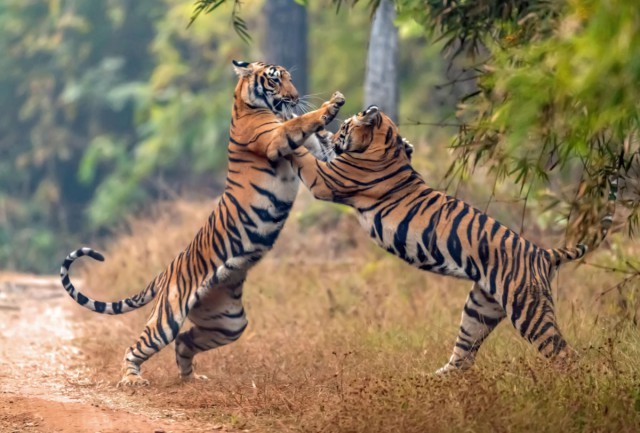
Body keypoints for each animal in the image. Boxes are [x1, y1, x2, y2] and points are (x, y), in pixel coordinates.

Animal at [61, 60, 344, 384]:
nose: (295, 97)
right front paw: (331, 105)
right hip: (167, 317)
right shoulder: (275, 139)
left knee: (185, 340)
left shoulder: (315, 149)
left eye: (289, 78)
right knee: (138, 346)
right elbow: (300, 123)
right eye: (275, 81)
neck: (248, 105)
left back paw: (191, 378)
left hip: (229, 321)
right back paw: (132, 380)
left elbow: (321, 141)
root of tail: (165, 272)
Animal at [292, 106, 616, 372]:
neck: (387, 144)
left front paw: (291, 129)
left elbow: (302, 154)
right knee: (463, 358)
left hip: (529, 310)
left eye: (346, 127)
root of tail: (543, 253)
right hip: (480, 307)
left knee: (563, 353)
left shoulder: (325, 180)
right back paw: (429, 381)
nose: (336, 135)